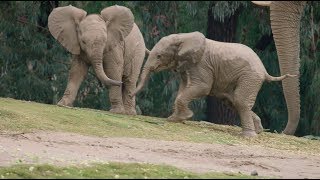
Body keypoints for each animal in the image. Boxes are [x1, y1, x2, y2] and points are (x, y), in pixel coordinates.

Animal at [132, 31, 296, 137]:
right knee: (233, 101)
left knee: (240, 101)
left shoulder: (201, 64)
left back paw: (248, 136)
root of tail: (264, 70)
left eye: (159, 56)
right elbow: (183, 89)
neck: (183, 37)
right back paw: (259, 131)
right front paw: (175, 119)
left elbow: (203, 87)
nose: (131, 94)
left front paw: (185, 116)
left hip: (250, 77)